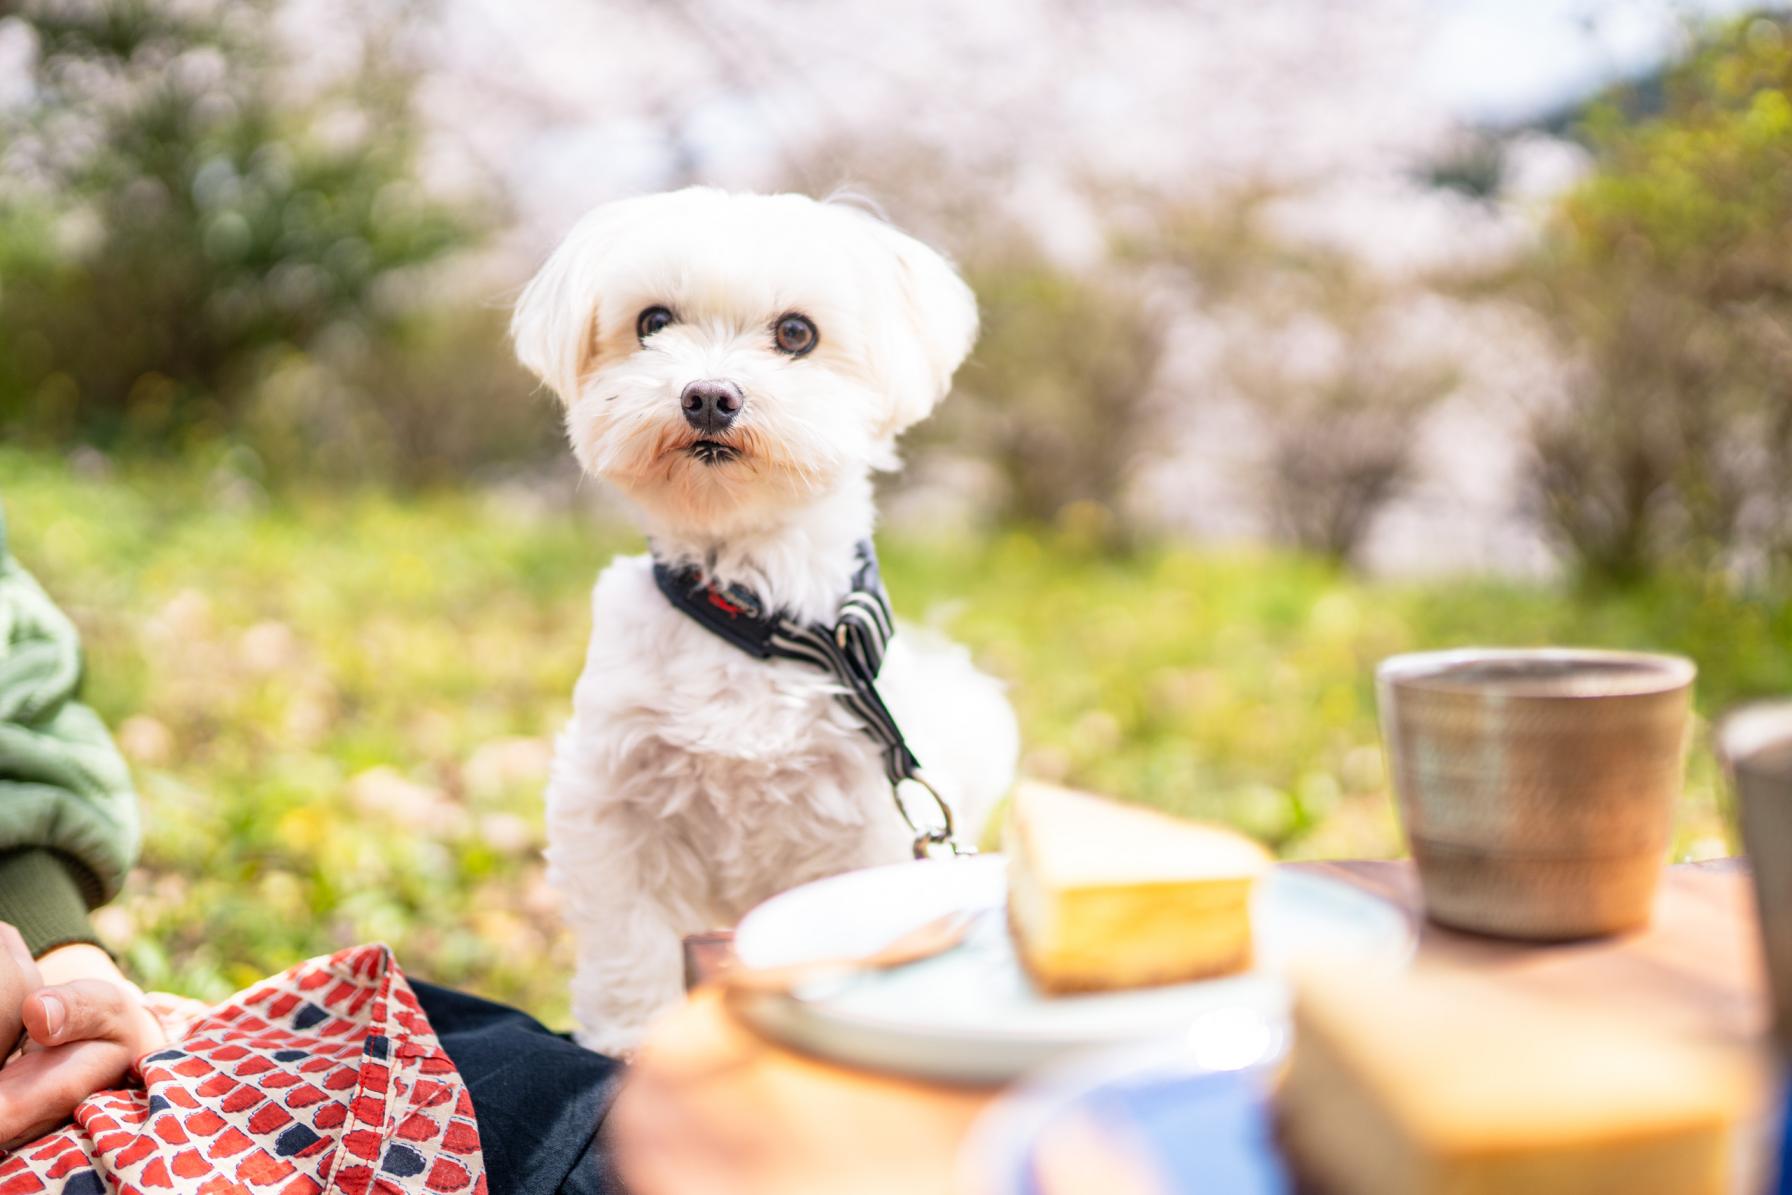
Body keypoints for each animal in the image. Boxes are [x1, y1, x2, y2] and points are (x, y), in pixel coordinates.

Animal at [512, 187, 1032, 1053]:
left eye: (796, 332)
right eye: (653, 322)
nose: (708, 395)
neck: (752, 616)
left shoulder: (865, 820)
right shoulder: (613, 802)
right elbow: (632, 940)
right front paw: (634, 1036)